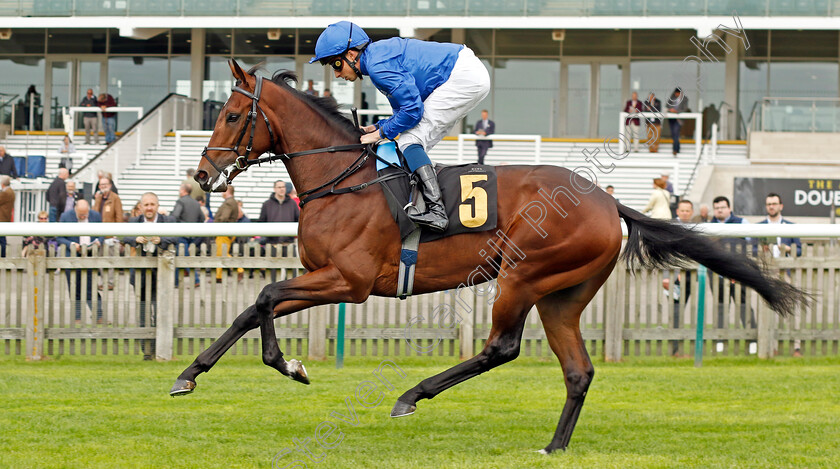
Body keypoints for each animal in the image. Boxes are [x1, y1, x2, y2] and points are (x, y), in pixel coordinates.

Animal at [174, 60, 812, 452]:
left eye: (232, 115)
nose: (202, 176)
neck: (344, 180)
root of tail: (608, 202)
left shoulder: (347, 281)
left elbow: (263, 296)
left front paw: (288, 364)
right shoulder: (321, 276)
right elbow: (253, 307)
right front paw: (190, 375)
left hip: (524, 275)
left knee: (501, 347)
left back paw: (411, 396)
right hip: (563, 295)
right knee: (578, 370)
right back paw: (554, 446)